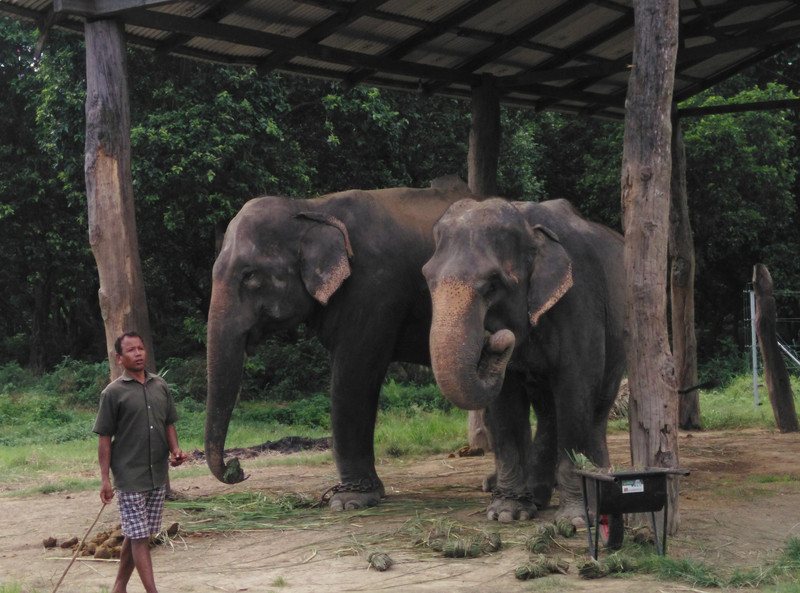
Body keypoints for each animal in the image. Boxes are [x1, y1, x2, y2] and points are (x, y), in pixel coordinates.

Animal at [203, 176, 476, 508]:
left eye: (250, 275)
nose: (238, 468)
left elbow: (354, 373)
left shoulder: (374, 288)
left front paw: (349, 501)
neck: (311, 207)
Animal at [422, 198, 628, 524]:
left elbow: (575, 391)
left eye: (492, 285)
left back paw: (598, 486)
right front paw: (507, 513)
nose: (497, 337)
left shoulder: (581, 301)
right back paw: (539, 497)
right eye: (428, 280)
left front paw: (576, 519)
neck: (529, 225)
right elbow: (506, 405)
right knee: (547, 410)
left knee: (597, 407)